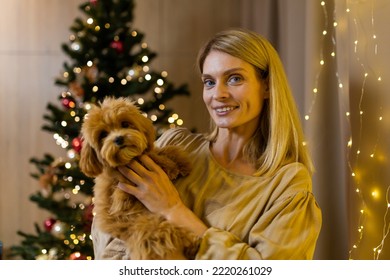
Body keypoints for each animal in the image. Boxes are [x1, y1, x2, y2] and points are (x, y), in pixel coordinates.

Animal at [80, 97, 200, 260]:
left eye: (125, 124)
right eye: (103, 134)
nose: (118, 139)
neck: (130, 160)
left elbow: (160, 151)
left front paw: (180, 162)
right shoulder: (120, 192)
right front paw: (170, 167)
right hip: (149, 226)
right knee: (168, 236)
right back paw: (192, 242)